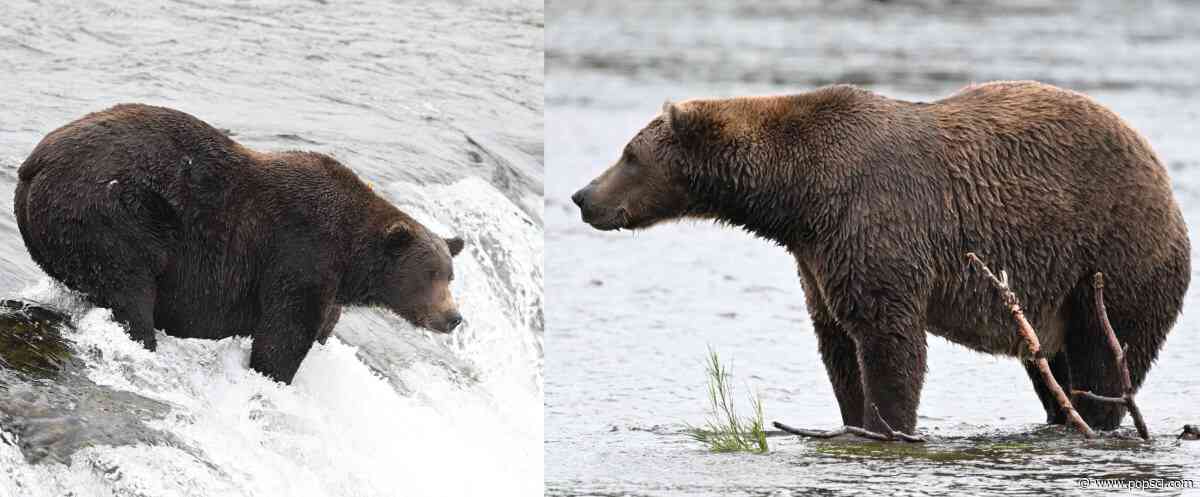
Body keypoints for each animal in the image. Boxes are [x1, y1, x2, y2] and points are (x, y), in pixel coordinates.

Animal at [15, 103, 466, 384]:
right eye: (429, 275)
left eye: (449, 276)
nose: (453, 317)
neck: (352, 261)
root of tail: (35, 161)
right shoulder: (301, 256)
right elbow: (283, 336)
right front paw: (272, 377)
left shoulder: (328, 284)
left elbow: (320, 328)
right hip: (112, 214)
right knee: (129, 288)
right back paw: (142, 338)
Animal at [572, 81, 1190, 435]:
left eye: (628, 154)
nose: (582, 197)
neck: (798, 195)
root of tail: (1163, 179)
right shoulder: (818, 256)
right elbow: (838, 343)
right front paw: (852, 420)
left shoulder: (875, 223)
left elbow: (887, 339)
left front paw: (888, 424)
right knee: (1052, 370)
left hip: (1112, 257)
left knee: (1105, 357)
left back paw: (1097, 418)